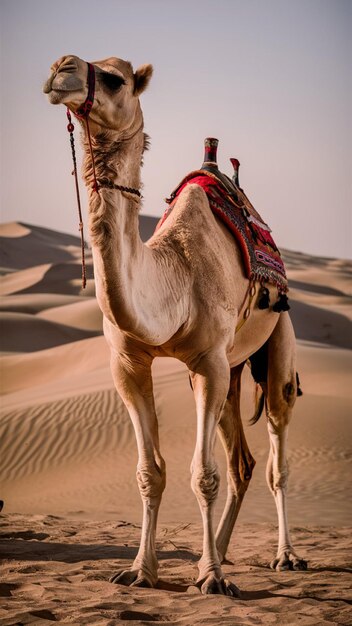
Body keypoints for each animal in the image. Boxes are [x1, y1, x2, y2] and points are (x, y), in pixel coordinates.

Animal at [44, 54, 306, 596]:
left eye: (116, 78)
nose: (62, 68)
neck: (174, 278)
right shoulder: (129, 363)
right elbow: (151, 471)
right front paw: (141, 571)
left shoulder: (206, 362)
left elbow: (202, 474)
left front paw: (210, 580)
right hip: (229, 371)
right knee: (242, 463)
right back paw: (221, 550)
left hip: (274, 348)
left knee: (276, 451)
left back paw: (284, 556)